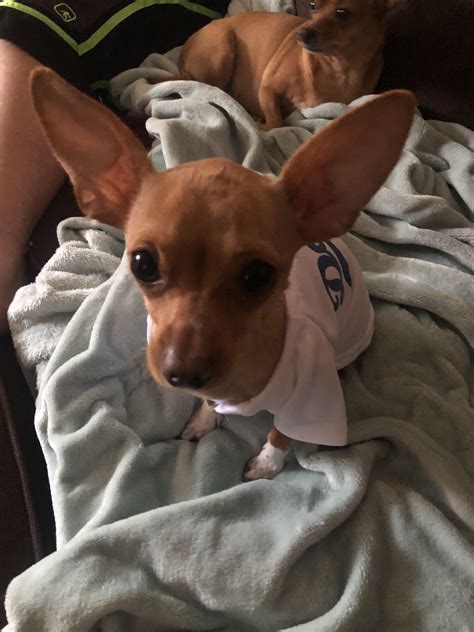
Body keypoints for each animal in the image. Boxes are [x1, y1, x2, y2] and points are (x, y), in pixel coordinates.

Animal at [30, 69, 414, 478]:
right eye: (142, 265)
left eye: (258, 276)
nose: (184, 373)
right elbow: (209, 403)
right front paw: (206, 417)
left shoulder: (310, 396)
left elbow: (282, 433)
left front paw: (267, 463)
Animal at [173, 0, 396, 127]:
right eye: (313, 6)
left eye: (342, 12)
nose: (301, 33)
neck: (337, 68)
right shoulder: (267, 88)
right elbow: (276, 123)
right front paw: (262, 124)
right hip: (222, 49)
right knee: (213, 89)